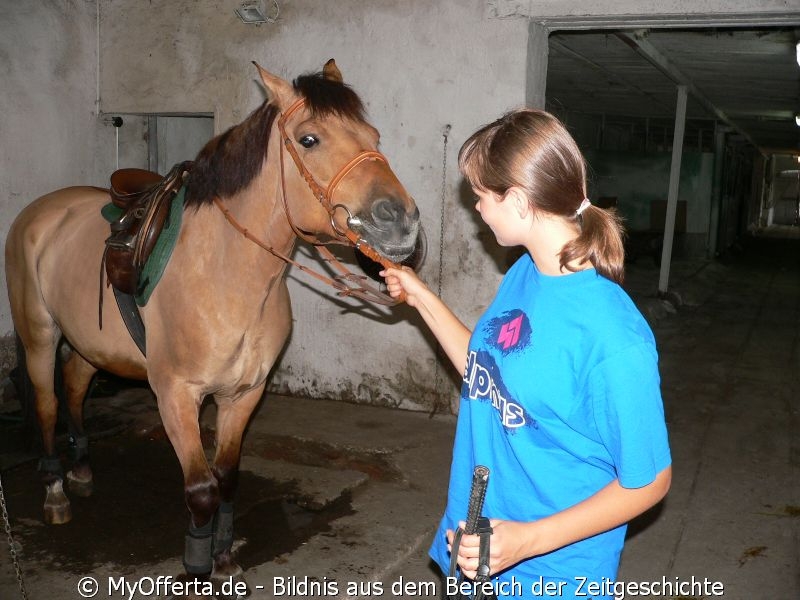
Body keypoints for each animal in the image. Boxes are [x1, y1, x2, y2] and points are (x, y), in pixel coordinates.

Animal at [3, 62, 422, 592]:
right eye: (309, 139)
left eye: (373, 136)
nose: (401, 222)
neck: (228, 275)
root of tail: (39, 213)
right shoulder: (176, 397)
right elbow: (201, 488)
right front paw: (198, 567)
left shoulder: (242, 394)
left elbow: (226, 480)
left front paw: (223, 559)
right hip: (39, 335)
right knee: (48, 404)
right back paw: (56, 491)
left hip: (86, 343)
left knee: (76, 387)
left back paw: (81, 471)